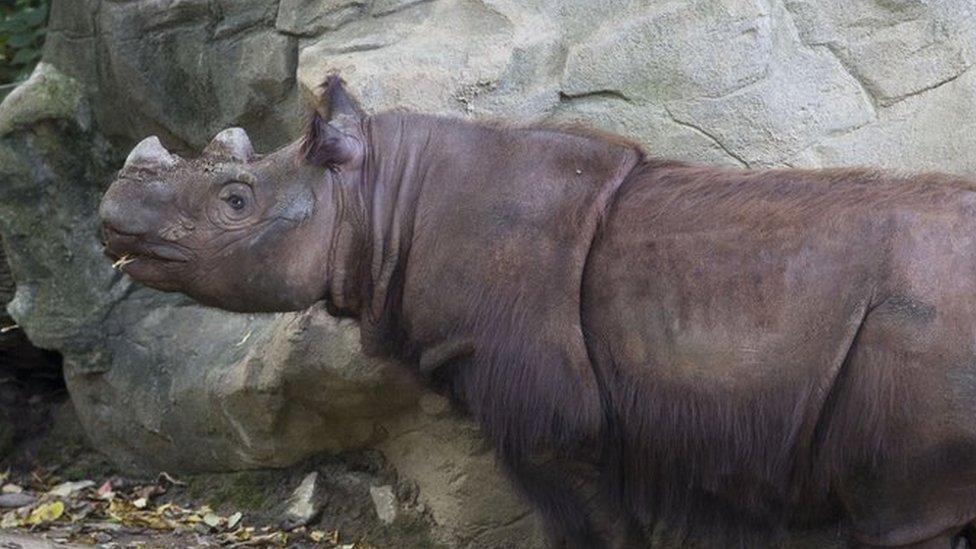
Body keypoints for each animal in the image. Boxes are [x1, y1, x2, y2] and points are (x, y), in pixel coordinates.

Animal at [99, 76, 976, 544]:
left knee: (903, 515)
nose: (111, 217)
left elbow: (588, 525)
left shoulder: (558, 421)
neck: (380, 199)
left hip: (918, 338)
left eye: (235, 200)